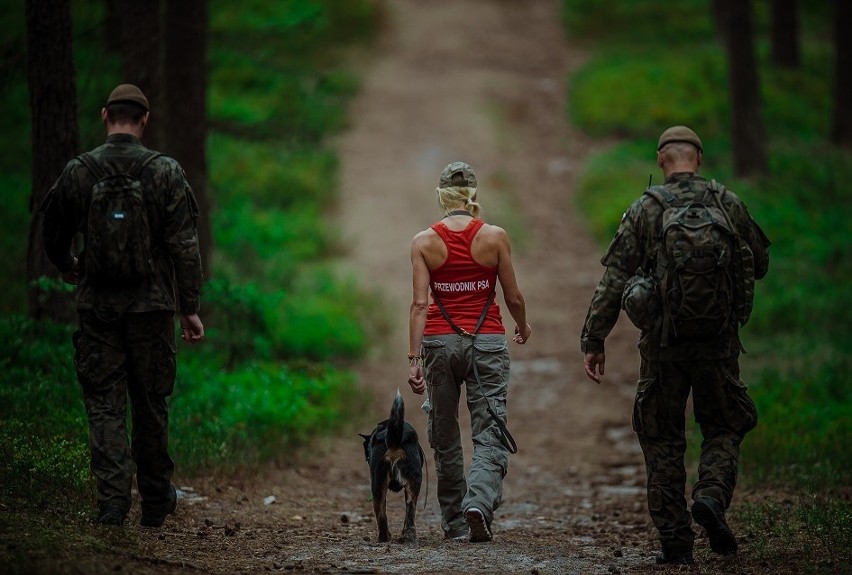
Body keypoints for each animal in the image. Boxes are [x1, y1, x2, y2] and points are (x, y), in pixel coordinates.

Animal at [360, 392, 426, 544]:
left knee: (382, 516)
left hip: (377, 485)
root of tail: (395, 442)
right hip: (414, 483)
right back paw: (408, 536)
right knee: (410, 510)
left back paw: (383, 538)